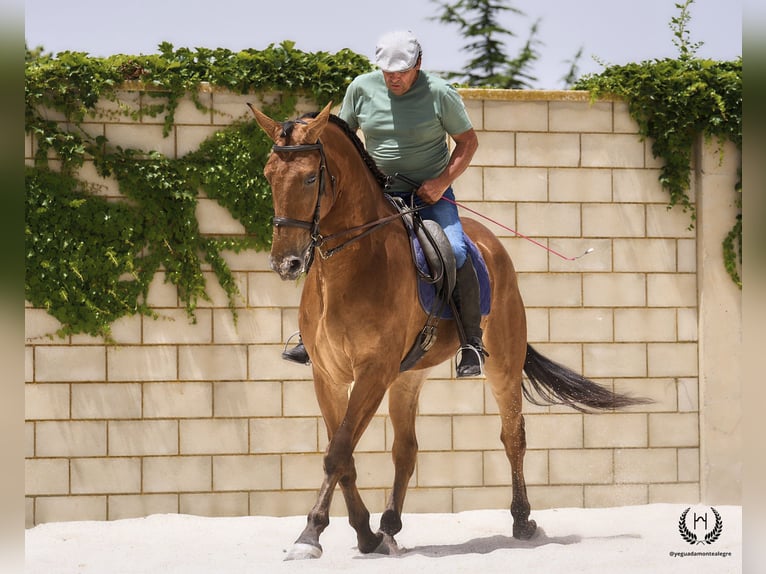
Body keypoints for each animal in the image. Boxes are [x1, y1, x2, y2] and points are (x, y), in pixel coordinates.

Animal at [250, 103, 648, 564]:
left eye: (311, 178)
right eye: (267, 175)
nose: (287, 264)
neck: (351, 265)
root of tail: (488, 242)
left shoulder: (372, 372)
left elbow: (338, 453)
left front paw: (310, 534)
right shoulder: (328, 376)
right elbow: (343, 454)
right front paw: (362, 533)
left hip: (502, 365)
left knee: (513, 436)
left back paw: (522, 521)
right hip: (408, 376)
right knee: (406, 449)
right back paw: (389, 526)